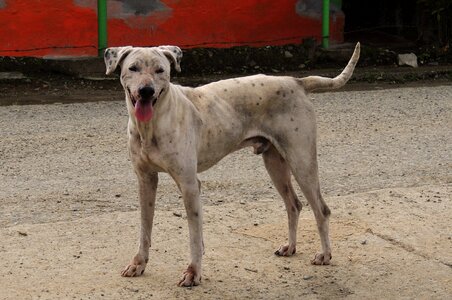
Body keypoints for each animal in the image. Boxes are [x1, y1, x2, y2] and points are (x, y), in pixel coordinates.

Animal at [103, 42, 360, 286]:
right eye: (133, 68)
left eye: (160, 70)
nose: (146, 91)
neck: (152, 124)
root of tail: (297, 81)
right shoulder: (146, 180)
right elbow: (145, 228)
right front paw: (138, 263)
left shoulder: (189, 184)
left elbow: (194, 237)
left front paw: (193, 273)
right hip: (275, 164)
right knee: (294, 205)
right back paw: (290, 247)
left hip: (302, 161)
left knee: (321, 210)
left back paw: (325, 254)